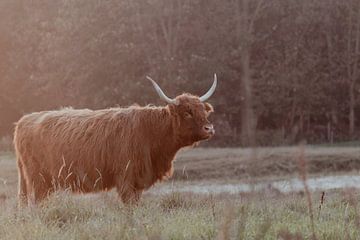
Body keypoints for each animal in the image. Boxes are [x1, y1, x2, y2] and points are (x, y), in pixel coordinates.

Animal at [14, 74, 217, 205]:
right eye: (187, 113)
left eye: (203, 110)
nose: (209, 129)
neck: (151, 132)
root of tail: (24, 120)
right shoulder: (126, 178)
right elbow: (129, 207)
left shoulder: (137, 182)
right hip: (38, 180)